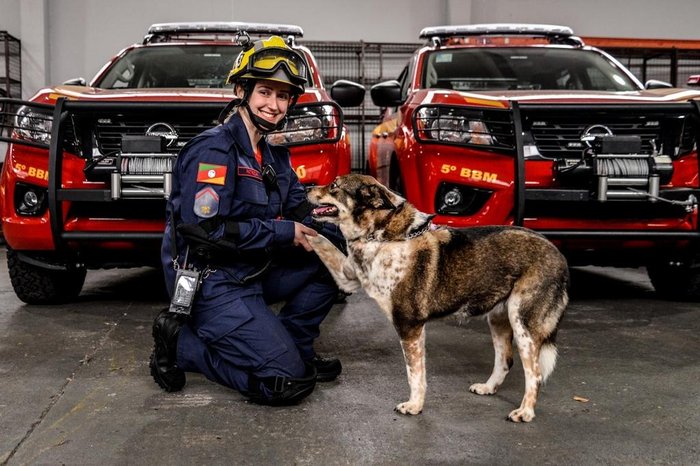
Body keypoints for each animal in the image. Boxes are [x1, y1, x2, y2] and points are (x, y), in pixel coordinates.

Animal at [306, 175, 568, 422]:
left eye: (334, 185)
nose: (306, 188)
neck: (381, 235)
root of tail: (560, 257)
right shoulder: (346, 277)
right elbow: (320, 239)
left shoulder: (409, 325)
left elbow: (414, 374)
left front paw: (414, 406)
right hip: (498, 319)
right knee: (505, 360)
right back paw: (488, 388)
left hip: (522, 324)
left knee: (534, 374)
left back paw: (525, 412)